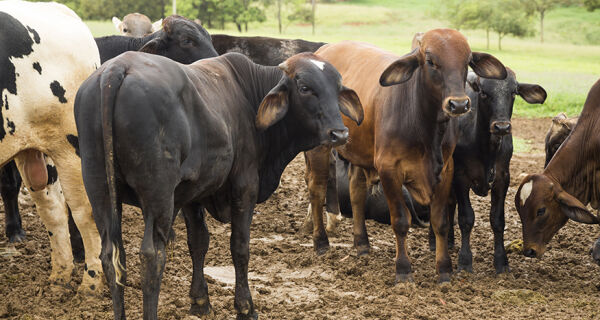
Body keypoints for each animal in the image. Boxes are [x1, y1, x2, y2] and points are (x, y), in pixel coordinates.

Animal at [0, 0, 103, 296]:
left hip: (72, 146)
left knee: (85, 212)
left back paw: (91, 285)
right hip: (32, 148)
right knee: (53, 208)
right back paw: (59, 279)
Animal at [75, 51, 366, 318]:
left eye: (337, 88)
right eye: (305, 88)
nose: (339, 133)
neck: (249, 96)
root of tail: (116, 68)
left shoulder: (191, 194)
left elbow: (198, 242)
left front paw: (200, 302)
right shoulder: (245, 186)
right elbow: (240, 247)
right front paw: (246, 307)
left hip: (99, 190)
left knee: (111, 256)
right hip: (157, 196)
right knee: (151, 256)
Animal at [304, 28, 506, 282]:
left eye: (467, 61)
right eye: (430, 61)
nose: (459, 104)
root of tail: (324, 50)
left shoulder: (445, 171)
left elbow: (440, 222)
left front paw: (444, 270)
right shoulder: (389, 169)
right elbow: (400, 221)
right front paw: (403, 270)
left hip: (359, 152)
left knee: (356, 191)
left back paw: (362, 244)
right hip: (319, 147)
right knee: (317, 189)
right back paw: (321, 242)